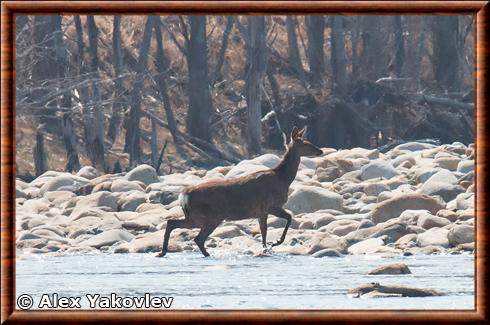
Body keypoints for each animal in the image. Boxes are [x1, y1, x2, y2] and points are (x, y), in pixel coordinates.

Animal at [157, 126, 324, 256]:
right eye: (306, 143)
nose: (321, 151)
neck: (282, 179)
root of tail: (183, 195)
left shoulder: (262, 211)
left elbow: (266, 230)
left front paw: (268, 247)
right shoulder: (270, 206)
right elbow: (284, 220)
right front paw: (275, 243)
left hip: (196, 216)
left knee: (173, 223)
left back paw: (162, 252)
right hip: (210, 216)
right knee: (197, 238)